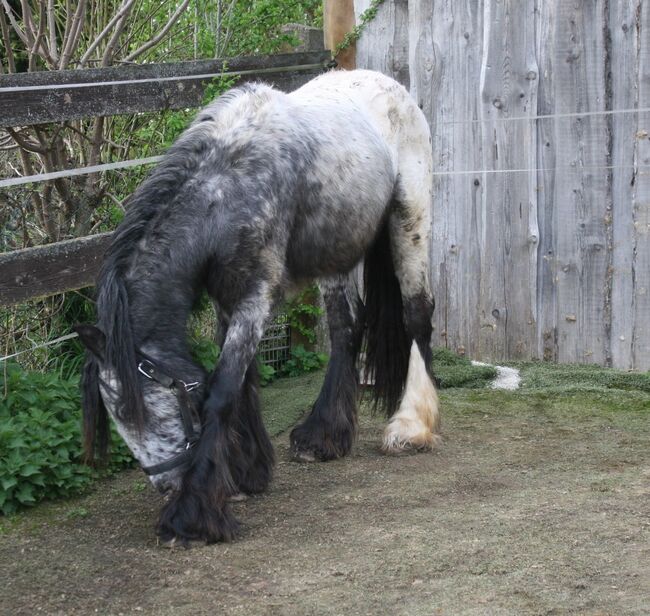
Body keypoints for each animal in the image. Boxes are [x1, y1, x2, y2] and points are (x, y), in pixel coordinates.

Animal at [74, 70, 440, 548]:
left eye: (134, 410)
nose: (166, 484)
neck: (226, 190)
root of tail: (393, 88)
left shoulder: (256, 296)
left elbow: (222, 391)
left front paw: (191, 516)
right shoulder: (228, 300)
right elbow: (243, 383)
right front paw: (245, 473)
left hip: (410, 219)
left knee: (418, 315)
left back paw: (412, 426)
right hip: (335, 253)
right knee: (346, 328)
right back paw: (323, 436)